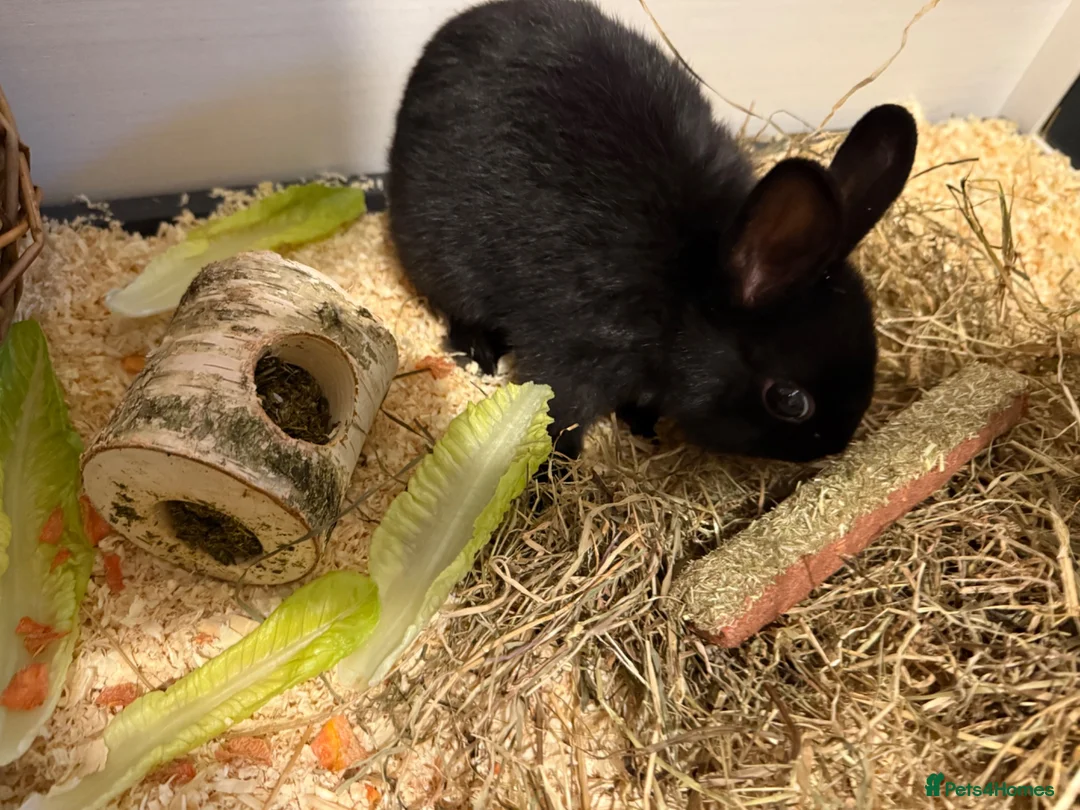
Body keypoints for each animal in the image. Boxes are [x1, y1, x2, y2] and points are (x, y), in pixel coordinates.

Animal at [386, 0, 918, 463]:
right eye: (789, 400)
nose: (833, 446)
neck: (683, 293)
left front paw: (643, 426)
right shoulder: (576, 354)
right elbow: (561, 412)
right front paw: (558, 468)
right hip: (441, 259)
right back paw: (478, 350)